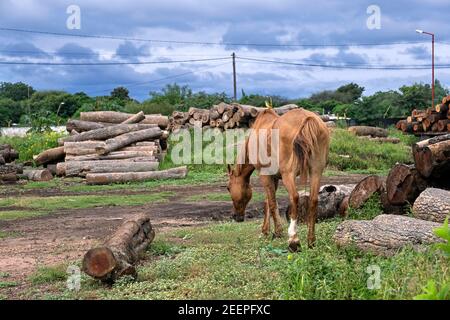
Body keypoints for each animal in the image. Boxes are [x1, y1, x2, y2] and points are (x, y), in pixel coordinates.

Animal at [227, 109, 328, 251]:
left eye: (228, 188)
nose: (235, 216)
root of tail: (308, 119)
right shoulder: (274, 178)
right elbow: (268, 202)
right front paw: (266, 230)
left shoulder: (265, 176)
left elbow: (272, 203)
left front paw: (278, 231)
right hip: (316, 171)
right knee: (313, 200)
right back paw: (311, 241)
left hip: (288, 175)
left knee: (294, 197)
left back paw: (293, 240)